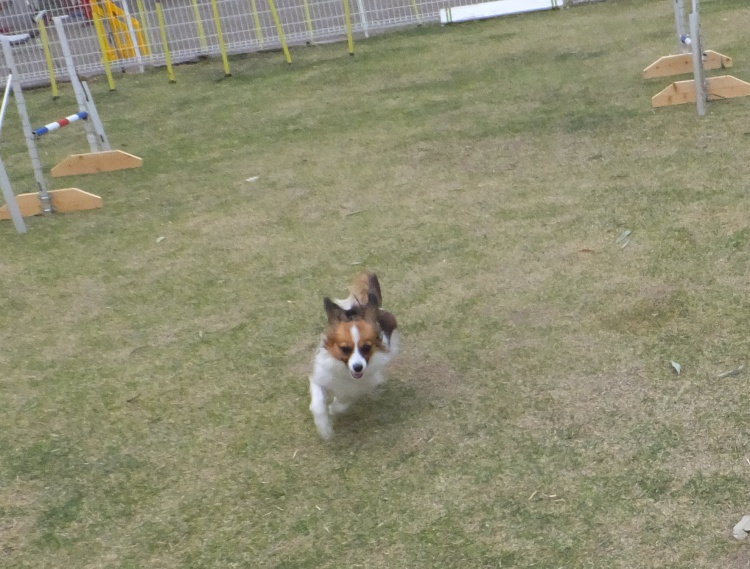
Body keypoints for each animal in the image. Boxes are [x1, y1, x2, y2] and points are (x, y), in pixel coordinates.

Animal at [308, 272, 400, 440]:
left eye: (366, 348)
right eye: (345, 349)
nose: (358, 367)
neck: (345, 371)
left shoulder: (358, 388)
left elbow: (343, 402)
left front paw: (334, 409)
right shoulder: (320, 377)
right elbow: (318, 405)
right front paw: (325, 430)